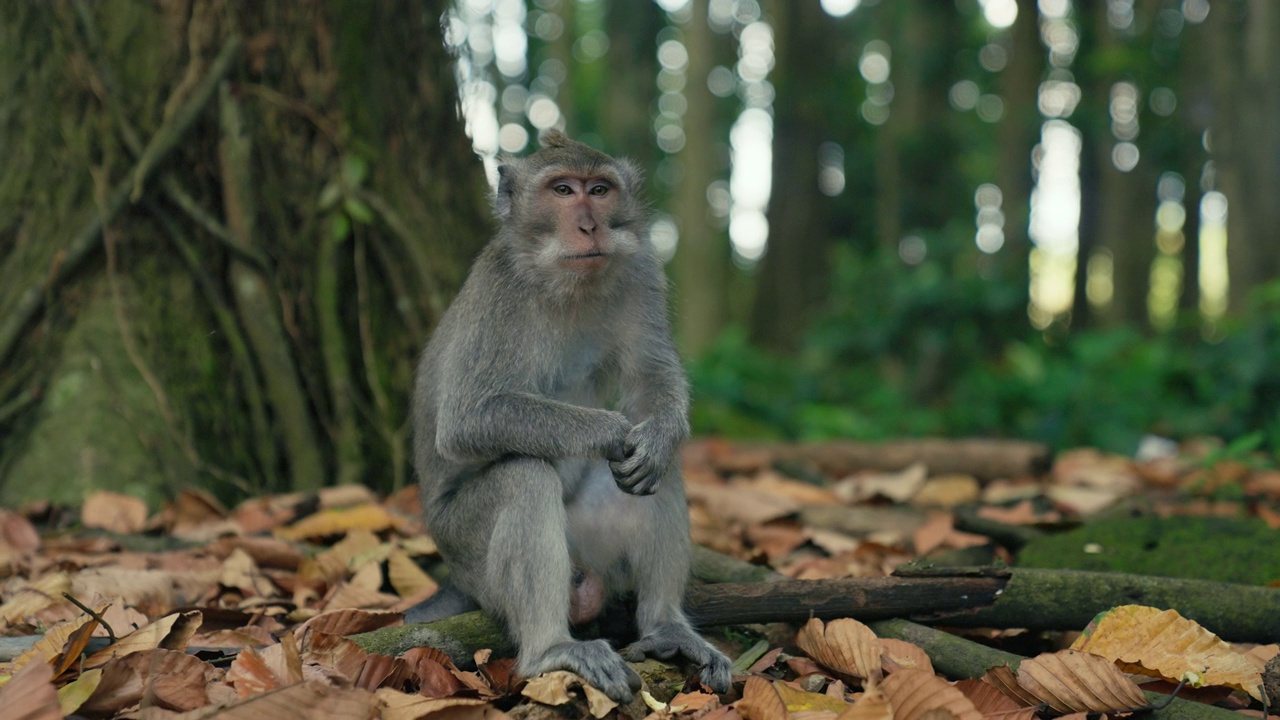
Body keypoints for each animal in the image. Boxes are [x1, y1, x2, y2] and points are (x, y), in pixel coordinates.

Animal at [409, 130, 732, 702]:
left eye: (599, 190)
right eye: (562, 190)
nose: (589, 225)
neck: (561, 278)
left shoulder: (641, 270)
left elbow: (651, 379)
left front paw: (657, 436)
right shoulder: (500, 293)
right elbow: (469, 417)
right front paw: (608, 427)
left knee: (653, 474)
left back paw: (665, 625)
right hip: (467, 551)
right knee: (523, 476)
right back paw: (549, 648)